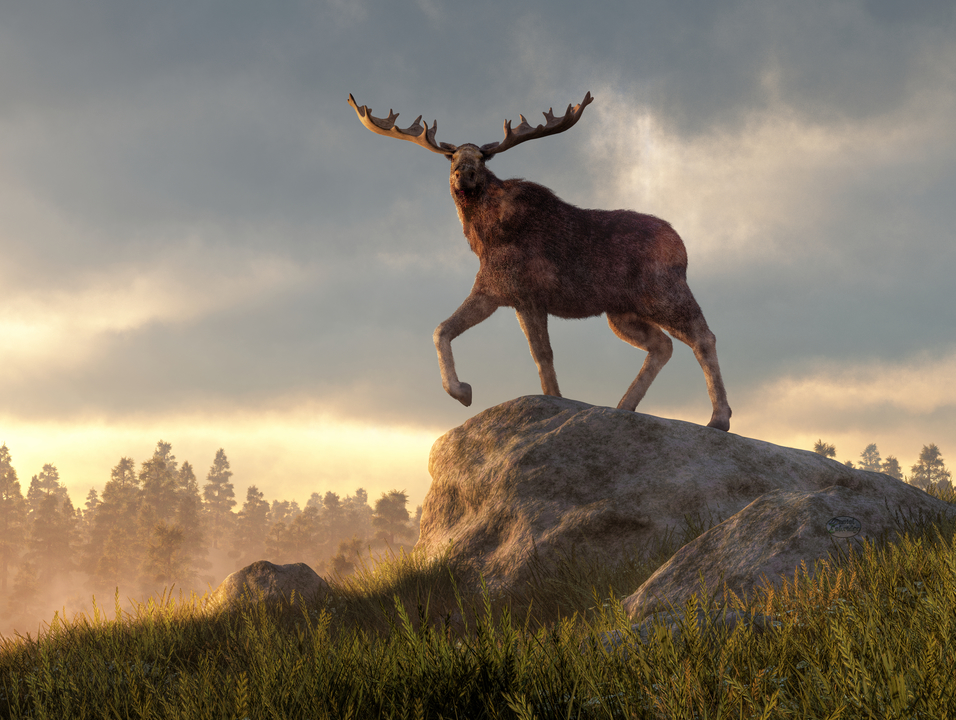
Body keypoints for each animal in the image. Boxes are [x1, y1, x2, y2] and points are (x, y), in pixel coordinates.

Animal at [347, 92, 732, 431]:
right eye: (452, 158)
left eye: (482, 159)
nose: (463, 174)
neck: (484, 237)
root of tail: (683, 248)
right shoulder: (494, 290)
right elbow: (442, 329)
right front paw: (463, 392)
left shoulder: (530, 295)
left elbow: (542, 355)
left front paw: (551, 400)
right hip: (621, 312)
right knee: (662, 345)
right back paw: (625, 405)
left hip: (663, 292)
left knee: (703, 337)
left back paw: (719, 418)